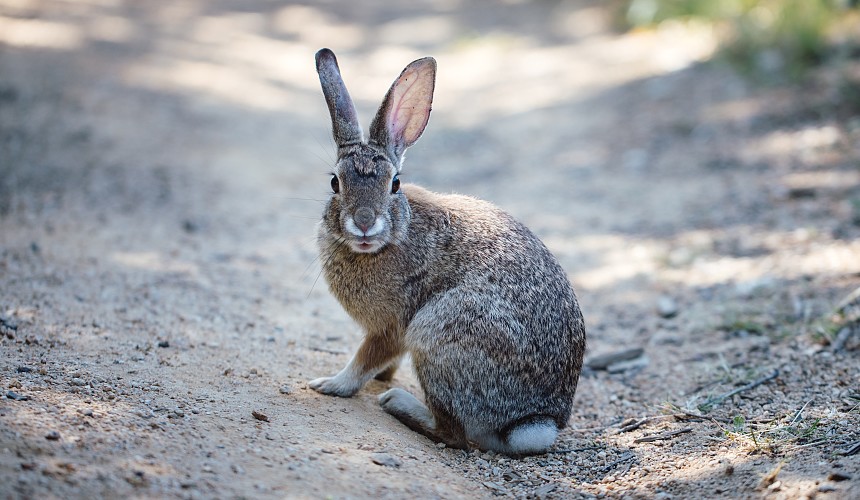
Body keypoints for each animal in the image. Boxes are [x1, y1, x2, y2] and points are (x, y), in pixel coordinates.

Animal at [308, 48, 584, 456]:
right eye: (334, 183)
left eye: (395, 184)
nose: (364, 223)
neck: (395, 235)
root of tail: (535, 420)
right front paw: (382, 376)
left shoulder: (393, 325)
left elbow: (366, 358)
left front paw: (330, 385)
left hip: (436, 335)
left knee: (452, 434)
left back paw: (398, 404)